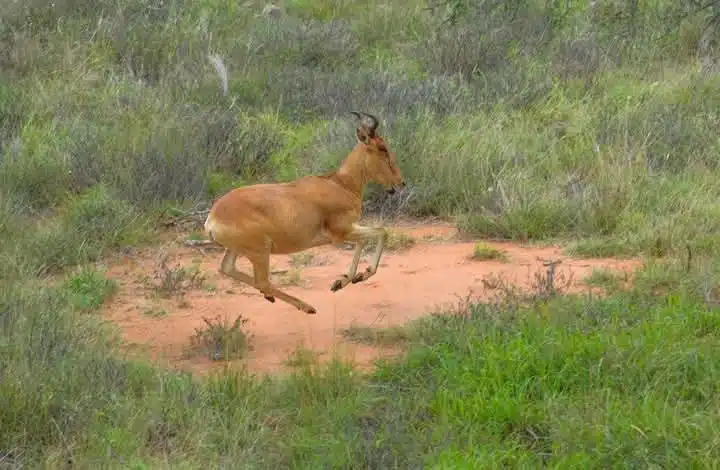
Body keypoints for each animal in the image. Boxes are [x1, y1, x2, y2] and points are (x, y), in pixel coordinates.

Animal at [203, 111, 406, 314]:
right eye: (382, 148)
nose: (401, 182)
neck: (340, 184)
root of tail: (212, 218)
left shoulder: (346, 232)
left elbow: (365, 240)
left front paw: (342, 282)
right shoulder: (342, 232)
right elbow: (381, 232)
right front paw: (358, 276)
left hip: (237, 249)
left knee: (228, 269)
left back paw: (273, 298)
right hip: (260, 251)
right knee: (261, 281)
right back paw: (307, 307)